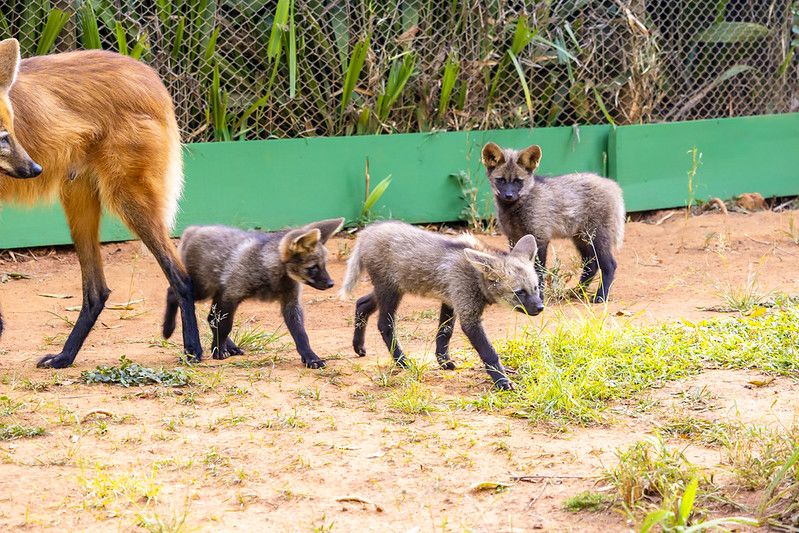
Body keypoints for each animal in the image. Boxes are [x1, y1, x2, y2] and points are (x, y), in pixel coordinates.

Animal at [162, 218, 344, 367]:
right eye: (312, 268)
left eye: (324, 265)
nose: (331, 284)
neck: (268, 270)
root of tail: (192, 229)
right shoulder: (231, 295)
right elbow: (224, 326)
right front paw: (219, 350)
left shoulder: (291, 303)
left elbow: (301, 334)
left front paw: (311, 357)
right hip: (203, 290)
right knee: (175, 292)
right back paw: (168, 329)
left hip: (213, 292)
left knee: (209, 316)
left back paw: (230, 346)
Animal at [340, 221, 543, 390]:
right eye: (520, 292)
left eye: (535, 288)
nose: (540, 308)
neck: (476, 278)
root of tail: (369, 231)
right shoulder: (469, 317)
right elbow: (489, 353)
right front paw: (502, 381)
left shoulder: (451, 301)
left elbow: (444, 333)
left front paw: (443, 362)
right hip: (390, 292)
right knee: (384, 325)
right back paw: (401, 361)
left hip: (390, 290)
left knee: (361, 303)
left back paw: (358, 347)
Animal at [481, 142, 626, 302]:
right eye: (501, 180)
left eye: (518, 181)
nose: (509, 196)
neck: (516, 209)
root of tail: (612, 184)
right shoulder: (514, 238)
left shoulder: (540, 238)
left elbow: (538, 272)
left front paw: (540, 297)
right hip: (581, 240)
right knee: (591, 265)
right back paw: (578, 292)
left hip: (596, 238)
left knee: (610, 265)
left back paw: (600, 296)